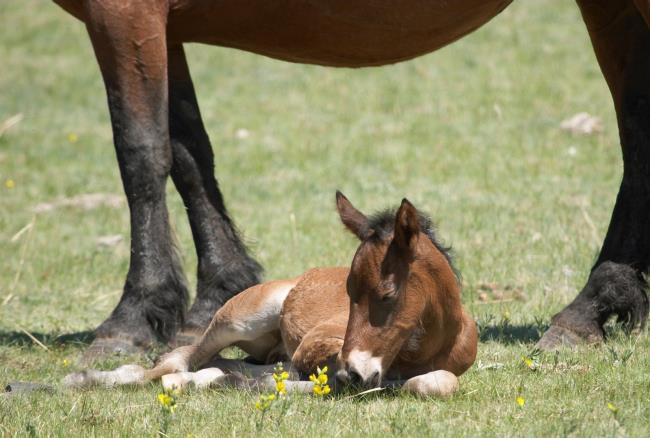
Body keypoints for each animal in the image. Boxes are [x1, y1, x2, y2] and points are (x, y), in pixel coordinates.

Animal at [53, 0, 648, 354]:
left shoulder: (125, 14)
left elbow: (141, 151)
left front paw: (133, 315)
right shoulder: (167, 26)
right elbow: (188, 151)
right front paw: (214, 293)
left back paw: (590, 304)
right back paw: (596, 305)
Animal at [64, 193, 476, 398]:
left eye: (387, 294)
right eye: (348, 293)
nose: (355, 372)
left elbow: (437, 383)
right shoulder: (316, 348)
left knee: (226, 364)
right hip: (238, 318)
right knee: (178, 358)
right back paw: (90, 379)